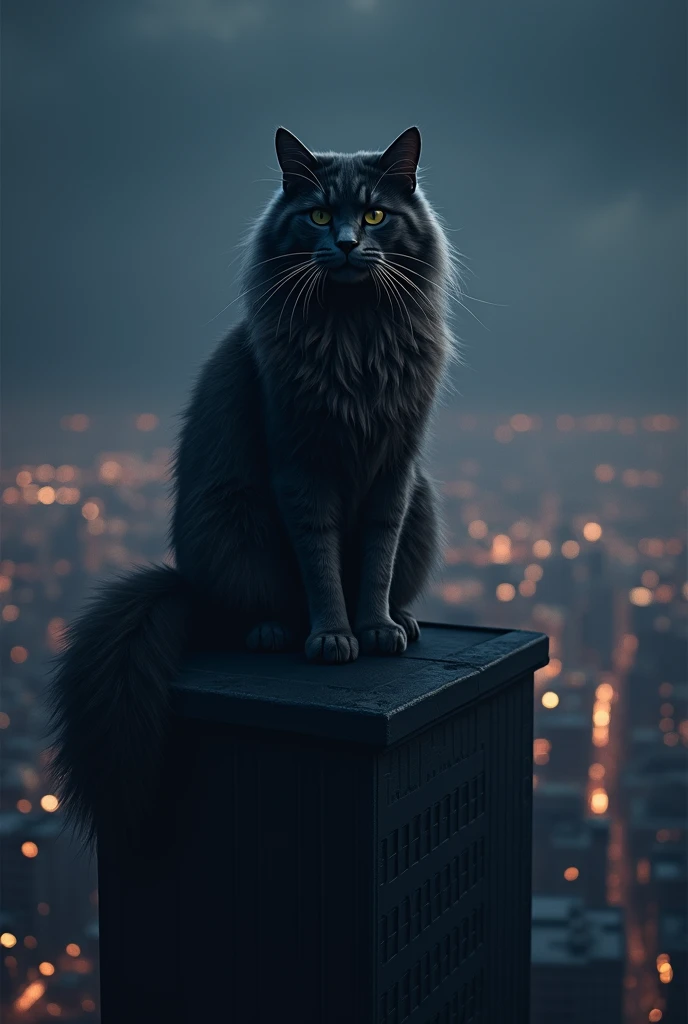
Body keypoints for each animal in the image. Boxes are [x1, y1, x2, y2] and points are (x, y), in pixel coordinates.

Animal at [47, 125, 456, 847]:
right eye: (318, 215)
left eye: (375, 215)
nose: (345, 243)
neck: (354, 332)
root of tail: (183, 582)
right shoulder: (299, 467)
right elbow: (321, 567)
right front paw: (334, 636)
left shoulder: (395, 472)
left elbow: (375, 562)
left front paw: (375, 625)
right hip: (232, 523)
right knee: (245, 607)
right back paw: (273, 631)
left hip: (423, 506)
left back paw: (403, 620)